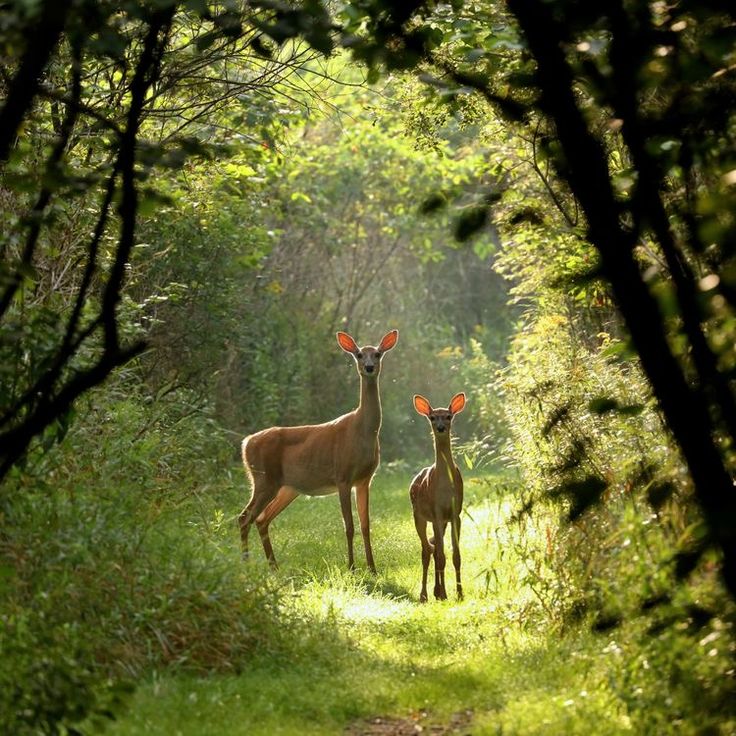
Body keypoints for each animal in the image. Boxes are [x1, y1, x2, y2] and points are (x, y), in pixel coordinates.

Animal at [239, 330, 400, 576]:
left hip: (287, 488)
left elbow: (365, 525)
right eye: (359, 354)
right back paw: (247, 566)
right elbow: (349, 526)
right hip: (264, 479)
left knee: (261, 519)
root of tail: (246, 443)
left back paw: (274, 566)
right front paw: (351, 567)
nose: (369, 367)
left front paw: (372, 568)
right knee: (244, 517)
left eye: (378, 354)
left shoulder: (365, 479)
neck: (362, 431)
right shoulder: (342, 476)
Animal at [408, 394, 466, 600]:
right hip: (418, 515)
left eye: (448, 416)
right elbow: (441, 556)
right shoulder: (437, 512)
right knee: (427, 550)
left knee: (433, 549)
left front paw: (460, 593)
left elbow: (455, 556)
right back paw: (425, 594)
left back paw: (437, 590)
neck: (445, 487)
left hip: (438, 521)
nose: (440, 427)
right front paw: (445, 593)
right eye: (432, 417)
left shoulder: (455, 513)